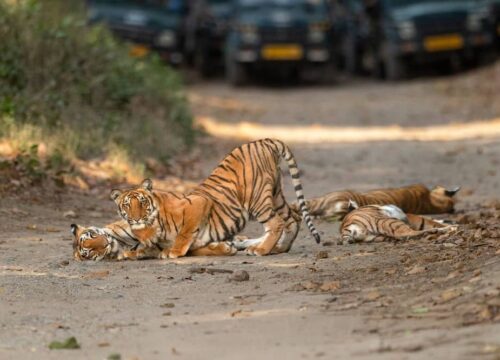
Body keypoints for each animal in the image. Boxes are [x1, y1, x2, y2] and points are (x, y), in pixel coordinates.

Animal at [110, 138, 320, 258]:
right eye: (127, 205)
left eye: (142, 202)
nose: (136, 218)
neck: (149, 229)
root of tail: (264, 141)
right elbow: (196, 247)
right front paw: (225, 248)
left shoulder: (198, 203)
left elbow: (185, 233)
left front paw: (173, 252)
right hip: (275, 195)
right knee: (293, 218)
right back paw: (278, 249)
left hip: (258, 199)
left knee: (276, 223)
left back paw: (260, 250)